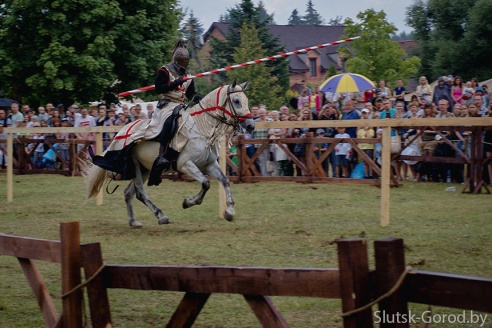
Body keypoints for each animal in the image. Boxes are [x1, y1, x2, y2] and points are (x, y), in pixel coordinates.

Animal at [83, 80, 256, 227]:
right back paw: (161, 216)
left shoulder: (209, 164)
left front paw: (229, 211)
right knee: (140, 193)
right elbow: (206, 183)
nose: (251, 126)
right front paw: (188, 202)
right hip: (136, 167)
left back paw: (134, 221)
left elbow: (225, 180)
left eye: (246, 100)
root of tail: (122, 131)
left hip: (145, 169)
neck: (201, 126)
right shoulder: (185, 164)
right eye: (236, 101)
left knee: (128, 193)